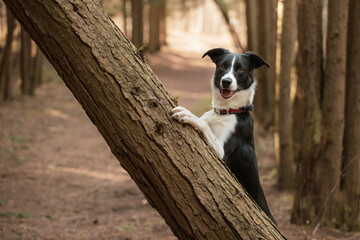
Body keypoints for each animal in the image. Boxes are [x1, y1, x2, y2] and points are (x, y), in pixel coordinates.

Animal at [171, 47, 276, 225]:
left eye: (240, 69)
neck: (226, 111)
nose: (226, 81)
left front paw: (189, 114)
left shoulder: (222, 153)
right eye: (222, 66)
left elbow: (204, 125)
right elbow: (205, 122)